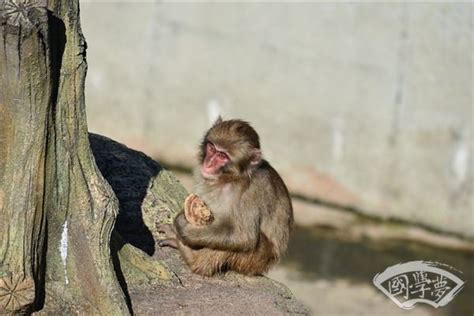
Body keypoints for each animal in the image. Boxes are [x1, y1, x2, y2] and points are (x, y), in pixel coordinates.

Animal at [158, 118, 292, 276]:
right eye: (212, 148)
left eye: (222, 156)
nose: (208, 164)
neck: (230, 179)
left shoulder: (252, 191)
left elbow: (243, 237)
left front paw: (183, 228)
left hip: (257, 260)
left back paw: (191, 255)